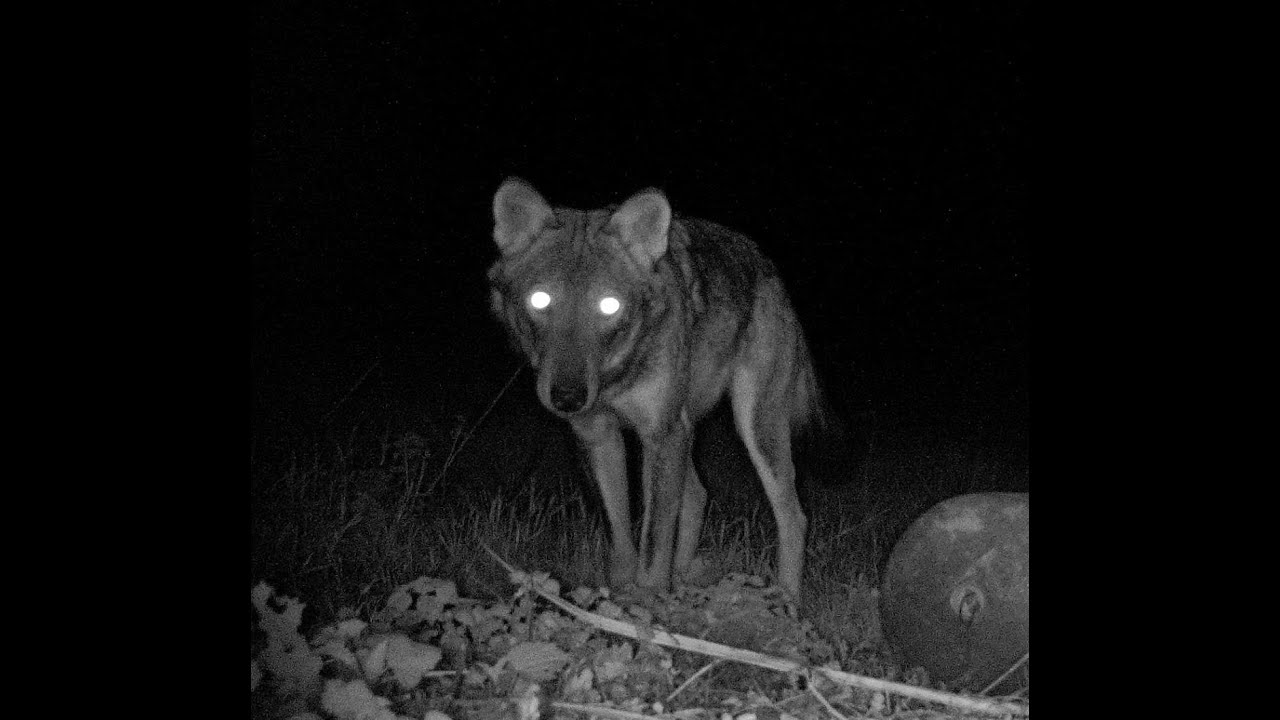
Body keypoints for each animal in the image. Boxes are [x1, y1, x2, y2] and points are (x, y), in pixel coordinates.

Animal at [487, 178, 820, 598]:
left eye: (609, 305)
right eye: (540, 299)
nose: (567, 397)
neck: (617, 375)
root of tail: (766, 263)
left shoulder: (661, 434)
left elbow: (652, 544)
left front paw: (645, 603)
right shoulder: (601, 435)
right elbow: (621, 541)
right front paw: (620, 599)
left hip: (754, 429)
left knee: (793, 517)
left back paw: (787, 600)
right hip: (686, 433)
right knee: (697, 497)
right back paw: (682, 583)